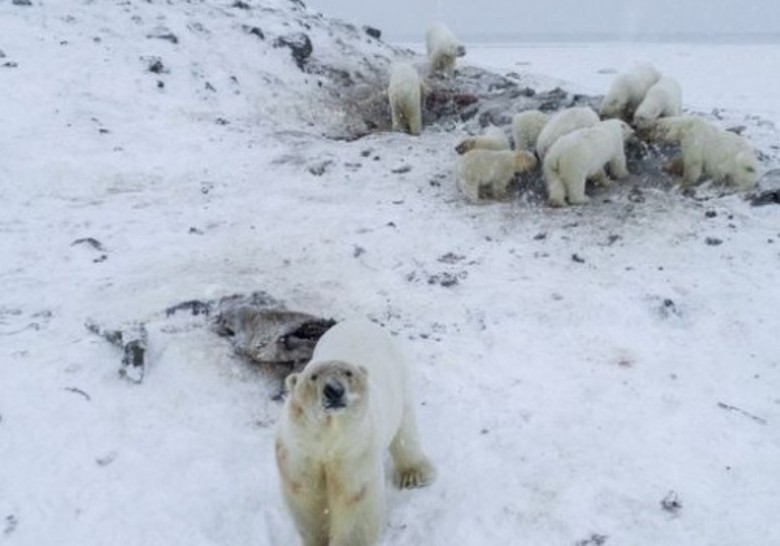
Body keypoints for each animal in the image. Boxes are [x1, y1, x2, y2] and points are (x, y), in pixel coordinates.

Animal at [276, 318, 436, 544]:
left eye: (348, 373)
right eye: (313, 376)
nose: (333, 390)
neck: (327, 435)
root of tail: (358, 320)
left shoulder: (355, 449)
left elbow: (355, 498)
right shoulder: (300, 451)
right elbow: (307, 497)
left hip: (399, 380)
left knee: (405, 429)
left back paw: (414, 475)